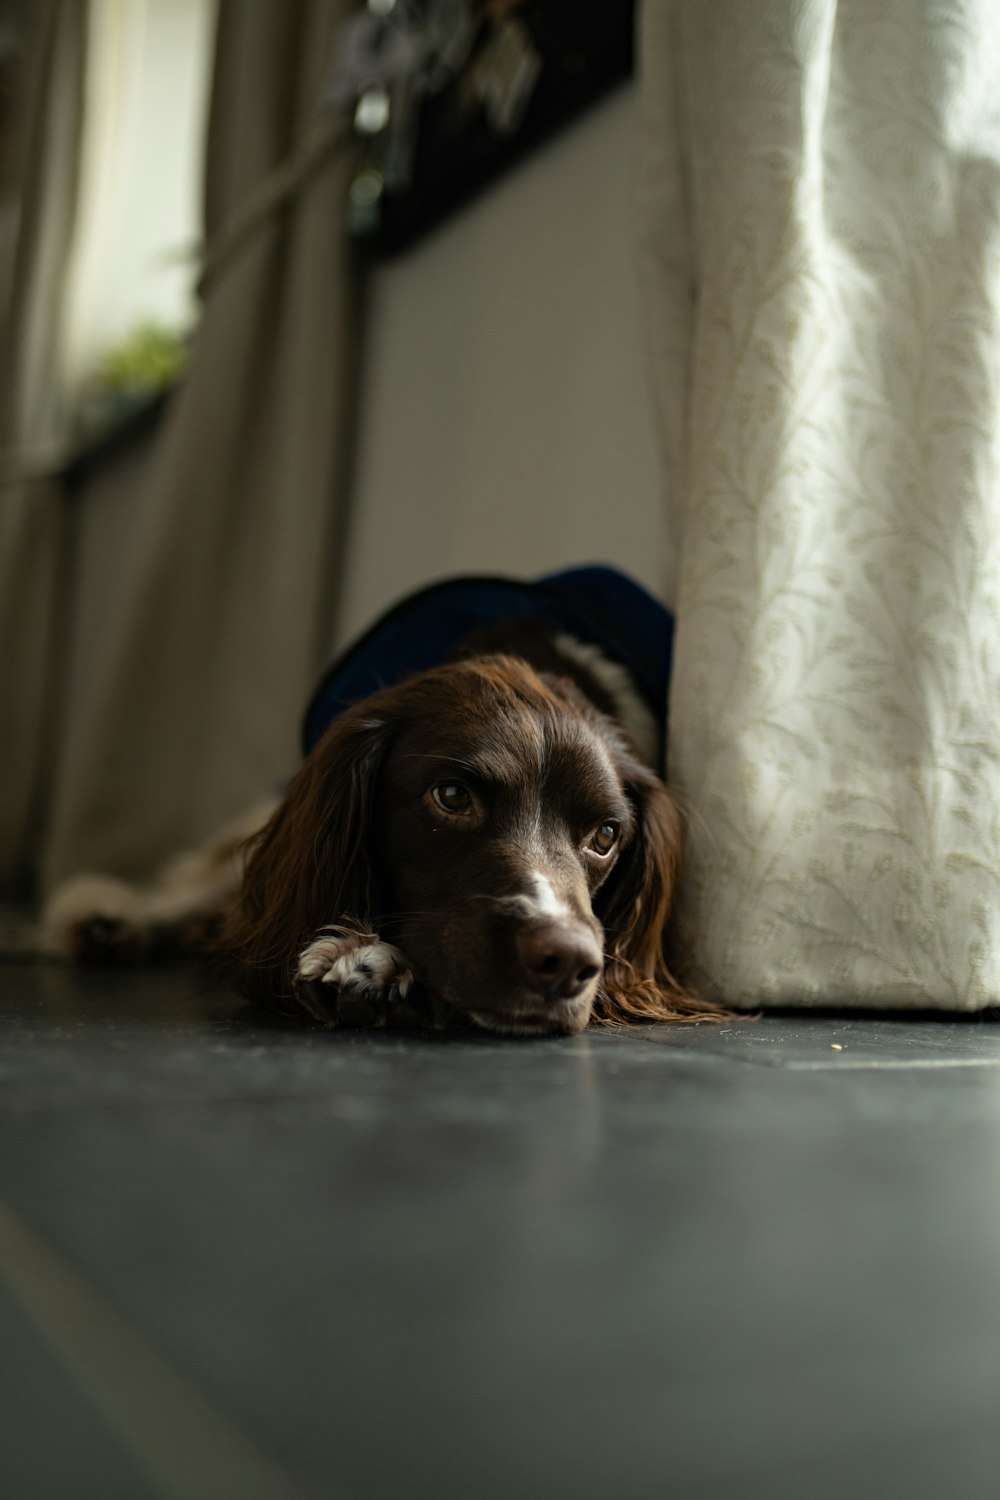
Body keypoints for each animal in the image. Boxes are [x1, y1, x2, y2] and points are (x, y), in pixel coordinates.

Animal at [44, 567, 728, 1038]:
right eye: (451, 797)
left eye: (605, 836)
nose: (564, 962)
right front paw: (363, 955)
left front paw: (373, 964)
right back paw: (111, 919)